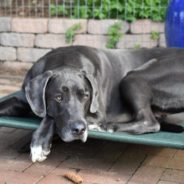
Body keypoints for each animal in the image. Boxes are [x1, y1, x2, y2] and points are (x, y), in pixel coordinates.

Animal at [0, 46, 184, 162]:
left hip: (134, 77)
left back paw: (107, 127)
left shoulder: (97, 113)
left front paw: (39, 143)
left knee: (150, 122)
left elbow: (50, 116)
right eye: (58, 97)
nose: (79, 130)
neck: (64, 60)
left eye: (86, 96)